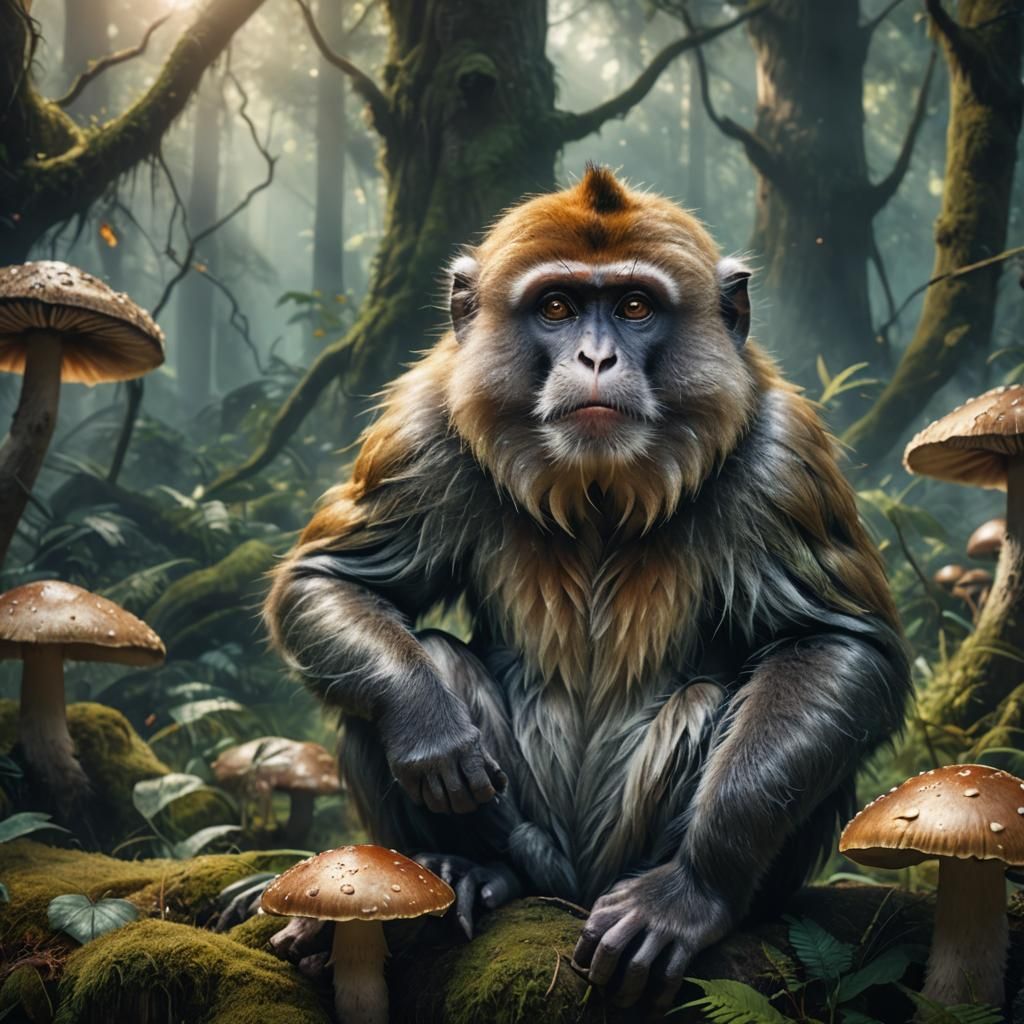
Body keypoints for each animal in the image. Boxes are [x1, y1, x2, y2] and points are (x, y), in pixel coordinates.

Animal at [264, 165, 909, 1011]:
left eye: (635, 307)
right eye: (557, 307)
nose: (596, 358)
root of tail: (567, 888)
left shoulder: (782, 456)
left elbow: (836, 641)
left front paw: (692, 891)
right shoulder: (424, 427)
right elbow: (331, 580)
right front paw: (428, 727)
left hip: (616, 866)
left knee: (718, 702)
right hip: (539, 848)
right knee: (418, 664)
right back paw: (473, 868)